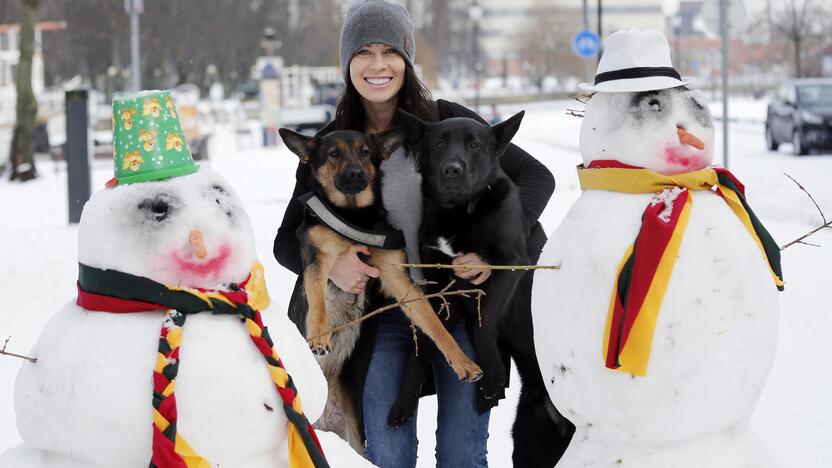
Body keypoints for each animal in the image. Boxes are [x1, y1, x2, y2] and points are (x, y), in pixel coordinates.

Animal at [388, 111, 576, 466]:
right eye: (439, 144)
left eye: (475, 145)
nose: (452, 169)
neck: (458, 211)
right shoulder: (441, 290)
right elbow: (431, 339)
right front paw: (404, 401)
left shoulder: (507, 266)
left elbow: (482, 323)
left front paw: (491, 377)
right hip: (531, 443)